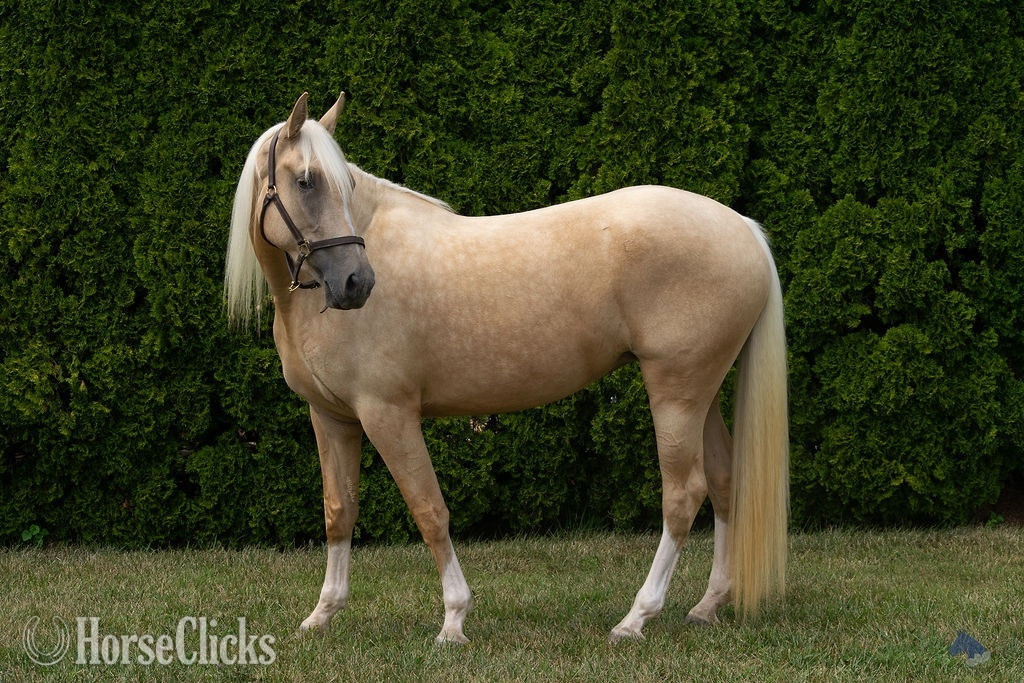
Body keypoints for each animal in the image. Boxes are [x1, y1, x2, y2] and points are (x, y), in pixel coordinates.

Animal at [224, 92, 789, 644]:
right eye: (306, 181)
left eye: (341, 183)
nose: (357, 283)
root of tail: (743, 228)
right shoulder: (332, 417)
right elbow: (339, 512)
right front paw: (323, 614)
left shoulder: (389, 414)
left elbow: (429, 510)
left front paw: (454, 620)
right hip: (701, 393)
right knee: (723, 481)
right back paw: (707, 606)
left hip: (675, 391)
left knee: (683, 494)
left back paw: (636, 618)